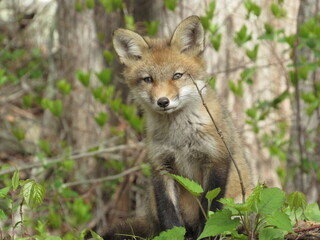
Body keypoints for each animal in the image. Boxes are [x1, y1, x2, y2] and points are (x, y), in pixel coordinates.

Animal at [106, 15, 254, 239]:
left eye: (177, 75)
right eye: (148, 79)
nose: (163, 102)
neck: (179, 138)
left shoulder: (217, 158)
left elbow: (210, 210)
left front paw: (207, 234)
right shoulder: (161, 166)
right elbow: (169, 214)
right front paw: (174, 233)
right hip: (152, 200)